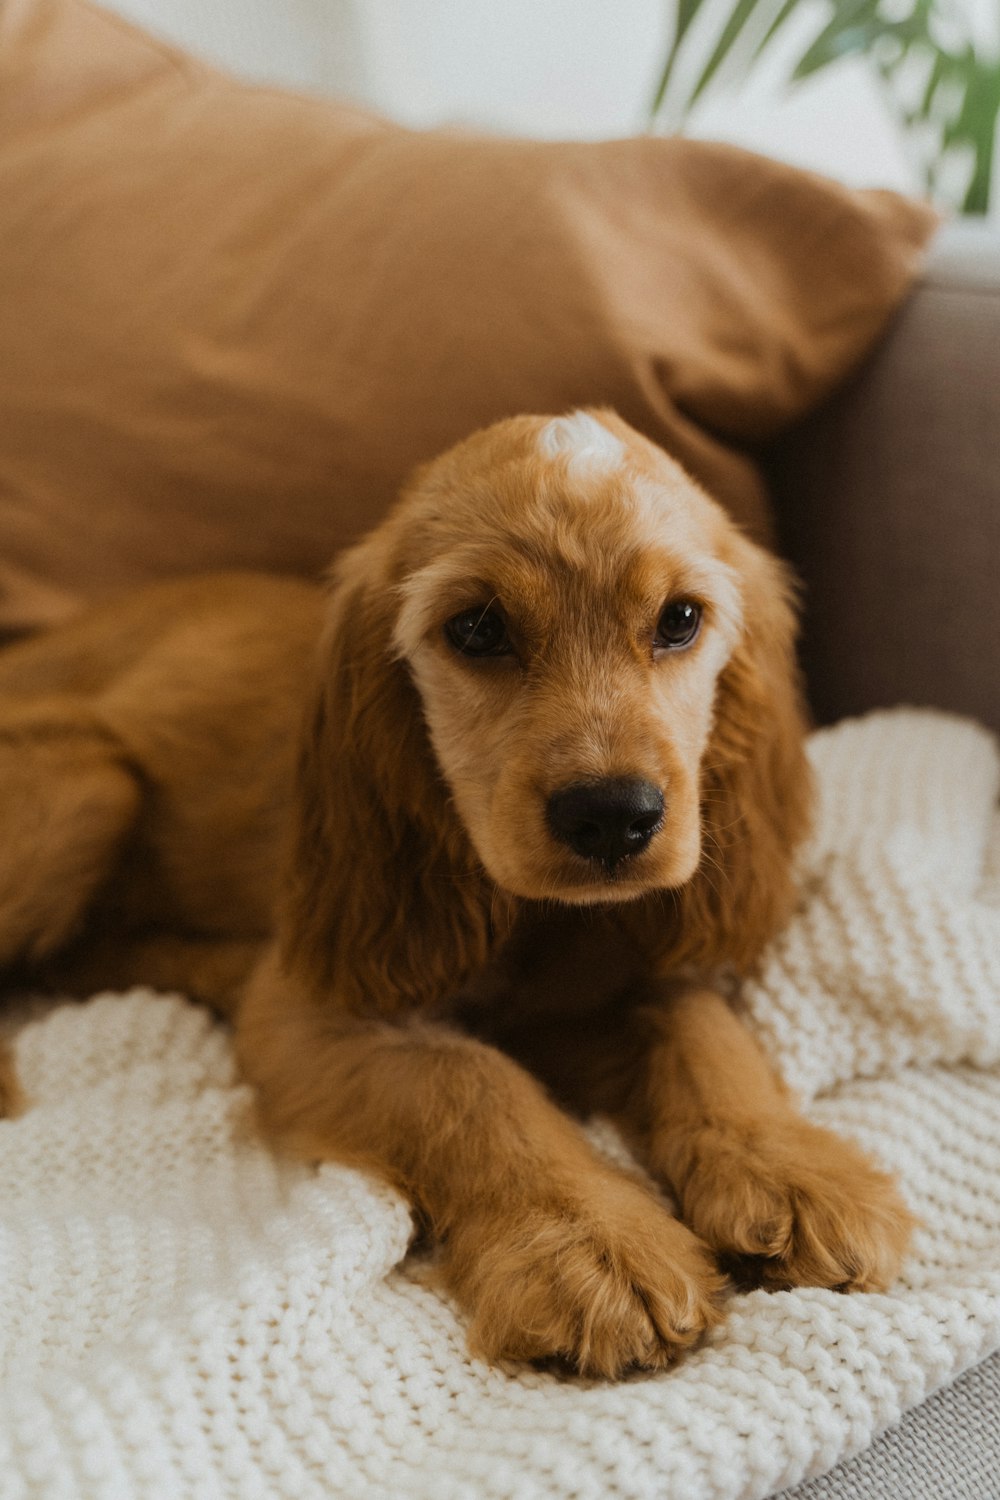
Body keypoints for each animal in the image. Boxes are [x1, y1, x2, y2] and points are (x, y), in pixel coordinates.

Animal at [0, 411, 917, 1374]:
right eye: (477, 629)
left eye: (680, 620)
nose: (613, 818)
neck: (536, 921)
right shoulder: (310, 1012)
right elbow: (468, 1082)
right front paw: (592, 1246)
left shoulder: (616, 980)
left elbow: (702, 1031)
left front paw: (792, 1168)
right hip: (89, 783)